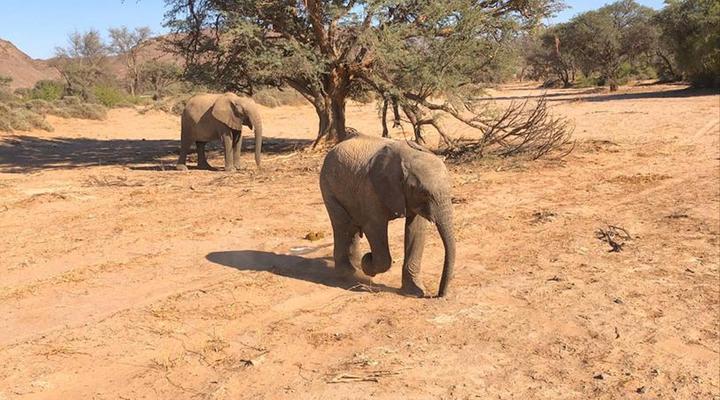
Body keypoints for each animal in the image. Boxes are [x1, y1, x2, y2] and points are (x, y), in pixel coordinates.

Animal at [319, 133, 456, 297]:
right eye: (424, 193)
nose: (438, 295)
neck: (410, 157)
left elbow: (416, 229)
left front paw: (415, 292)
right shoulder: (371, 190)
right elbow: (374, 228)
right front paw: (367, 262)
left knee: (351, 228)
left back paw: (356, 268)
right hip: (328, 187)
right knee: (342, 226)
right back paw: (349, 275)